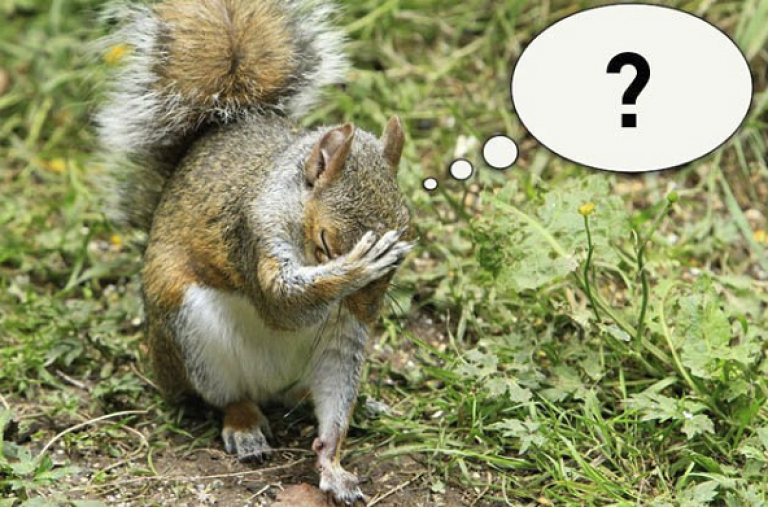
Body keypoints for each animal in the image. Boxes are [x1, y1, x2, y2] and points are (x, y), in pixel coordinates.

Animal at [96, 0, 413, 504]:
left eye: (406, 242)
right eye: (326, 241)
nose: (366, 310)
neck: (289, 199)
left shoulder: (346, 328)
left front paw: (332, 461)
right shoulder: (252, 229)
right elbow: (280, 302)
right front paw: (357, 265)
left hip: (333, 348)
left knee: (316, 390)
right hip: (188, 330)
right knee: (227, 396)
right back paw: (244, 425)